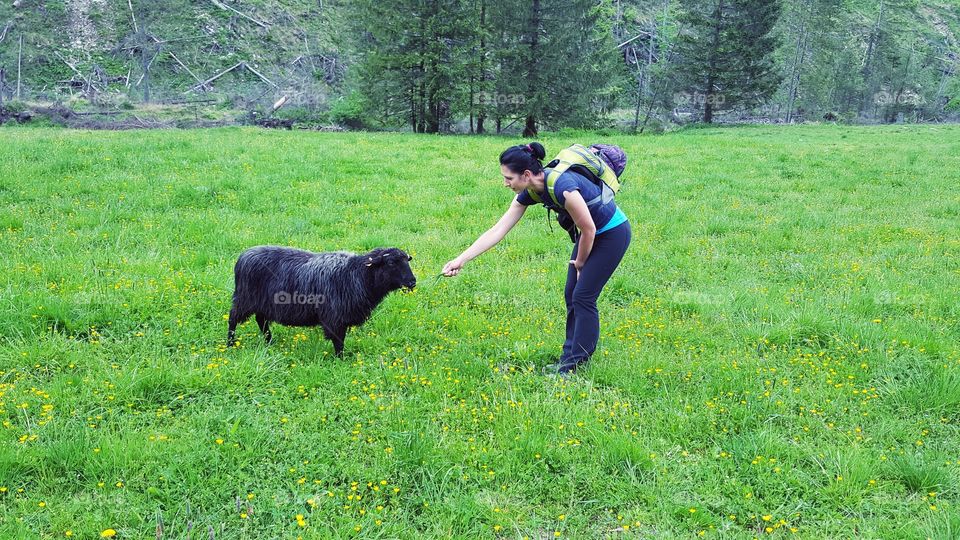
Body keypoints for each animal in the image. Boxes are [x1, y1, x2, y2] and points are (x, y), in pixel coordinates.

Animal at [227, 246, 416, 355]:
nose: (412, 282)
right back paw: (230, 344)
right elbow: (339, 341)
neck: (357, 274)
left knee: (261, 319)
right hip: (245, 298)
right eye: (391, 262)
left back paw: (269, 342)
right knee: (233, 318)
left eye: (406, 260)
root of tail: (243, 256)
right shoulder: (335, 318)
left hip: (262, 303)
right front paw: (340, 360)